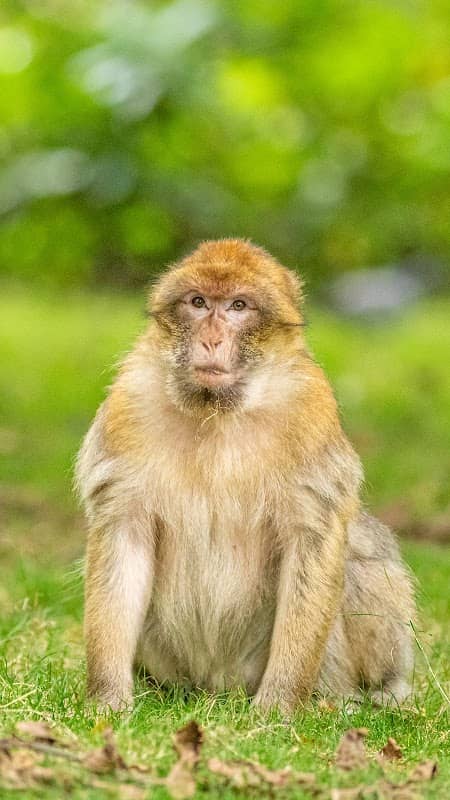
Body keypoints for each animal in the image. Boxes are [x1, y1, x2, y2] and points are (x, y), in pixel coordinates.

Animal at [76, 238, 415, 714]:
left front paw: (278, 707)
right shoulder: (128, 404)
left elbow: (314, 540)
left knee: (361, 552)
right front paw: (108, 700)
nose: (211, 338)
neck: (217, 409)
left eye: (238, 306)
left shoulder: (312, 409)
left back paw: (356, 697)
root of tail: (215, 687)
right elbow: (124, 536)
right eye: (199, 303)